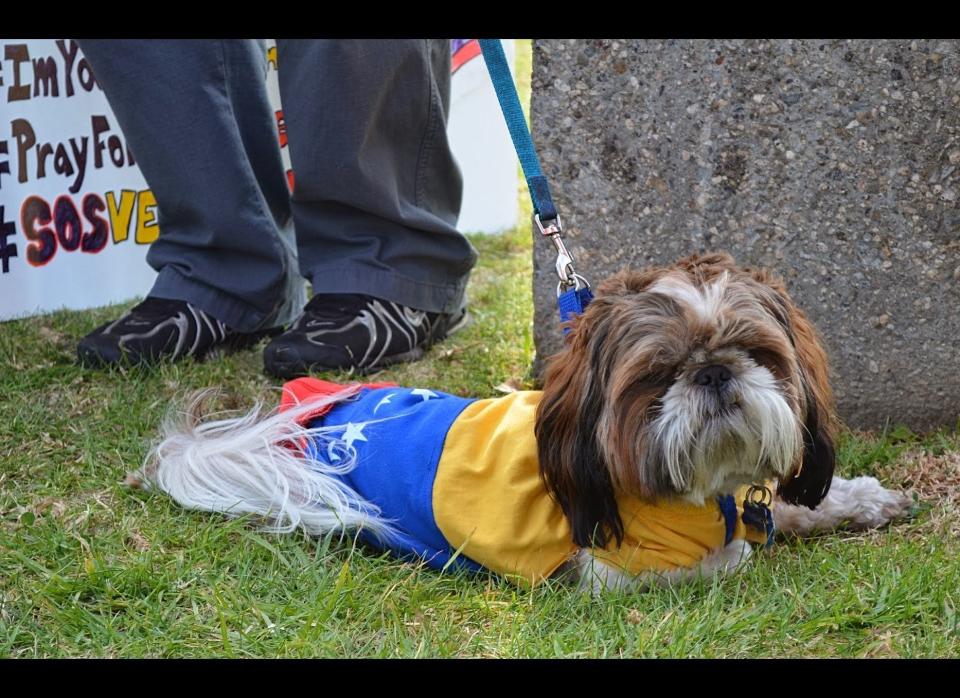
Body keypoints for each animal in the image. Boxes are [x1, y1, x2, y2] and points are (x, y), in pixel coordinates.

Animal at [129, 253, 916, 588]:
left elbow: (783, 508)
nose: (714, 372)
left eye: (754, 351)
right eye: (658, 375)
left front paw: (861, 500)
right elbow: (730, 555)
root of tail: (302, 426)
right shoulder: (612, 574)